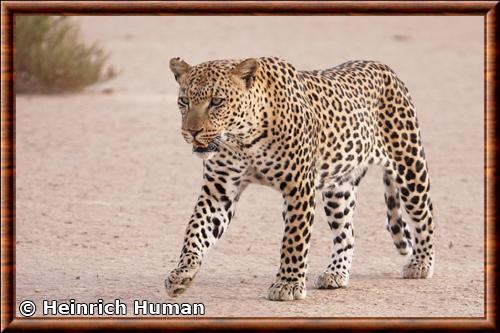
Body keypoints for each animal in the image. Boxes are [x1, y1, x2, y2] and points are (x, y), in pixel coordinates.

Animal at [163, 55, 434, 300]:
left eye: (217, 102)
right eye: (184, 101)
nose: (191, 132)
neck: (243, 140)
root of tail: (383, 66)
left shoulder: (299, 188)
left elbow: (294, 240)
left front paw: (288, 285)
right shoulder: (218, 191)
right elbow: (196, 230)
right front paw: (182, 273)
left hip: (410, 168)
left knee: (425, 217)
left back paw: (421, 263)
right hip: (338, 190)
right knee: (347, 233)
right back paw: (336, 273)